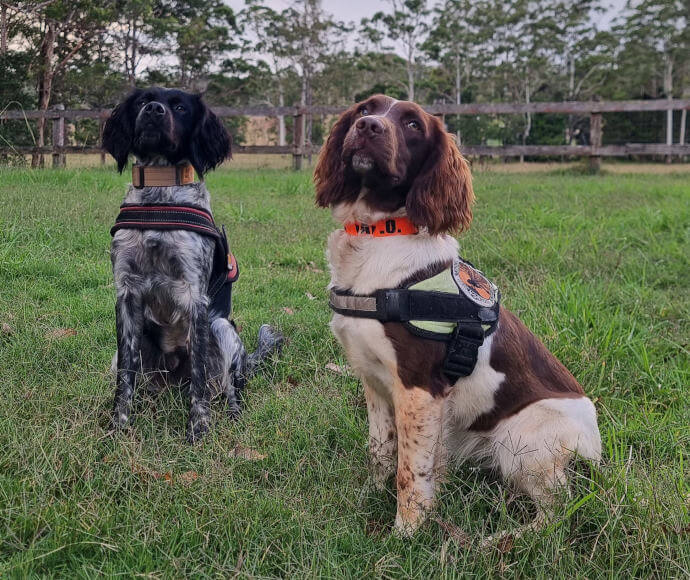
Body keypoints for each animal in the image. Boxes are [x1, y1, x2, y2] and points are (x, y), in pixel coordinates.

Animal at [102, 86, 280, 442]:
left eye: (180, 107)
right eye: (142, 101)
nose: (154, 111)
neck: (159, 194)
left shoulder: (194, 294)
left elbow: (199, 380)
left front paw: (199, 431)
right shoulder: (125, 293)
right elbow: (125, 378)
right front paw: (118, 426)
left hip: (222, 328)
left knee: (230, 386)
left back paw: (233, 413)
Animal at [312, 94, 596, 540]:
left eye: (412, 124)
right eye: (364, 109)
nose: (369, 127)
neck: (378, 236)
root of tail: (597, 449)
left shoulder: (418, 387)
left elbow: (410, 471)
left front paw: (406, 533)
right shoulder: (375, 382)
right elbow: (381, 451)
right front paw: (368, 499)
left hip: (524, 439)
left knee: (559, 512)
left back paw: (498, 541)